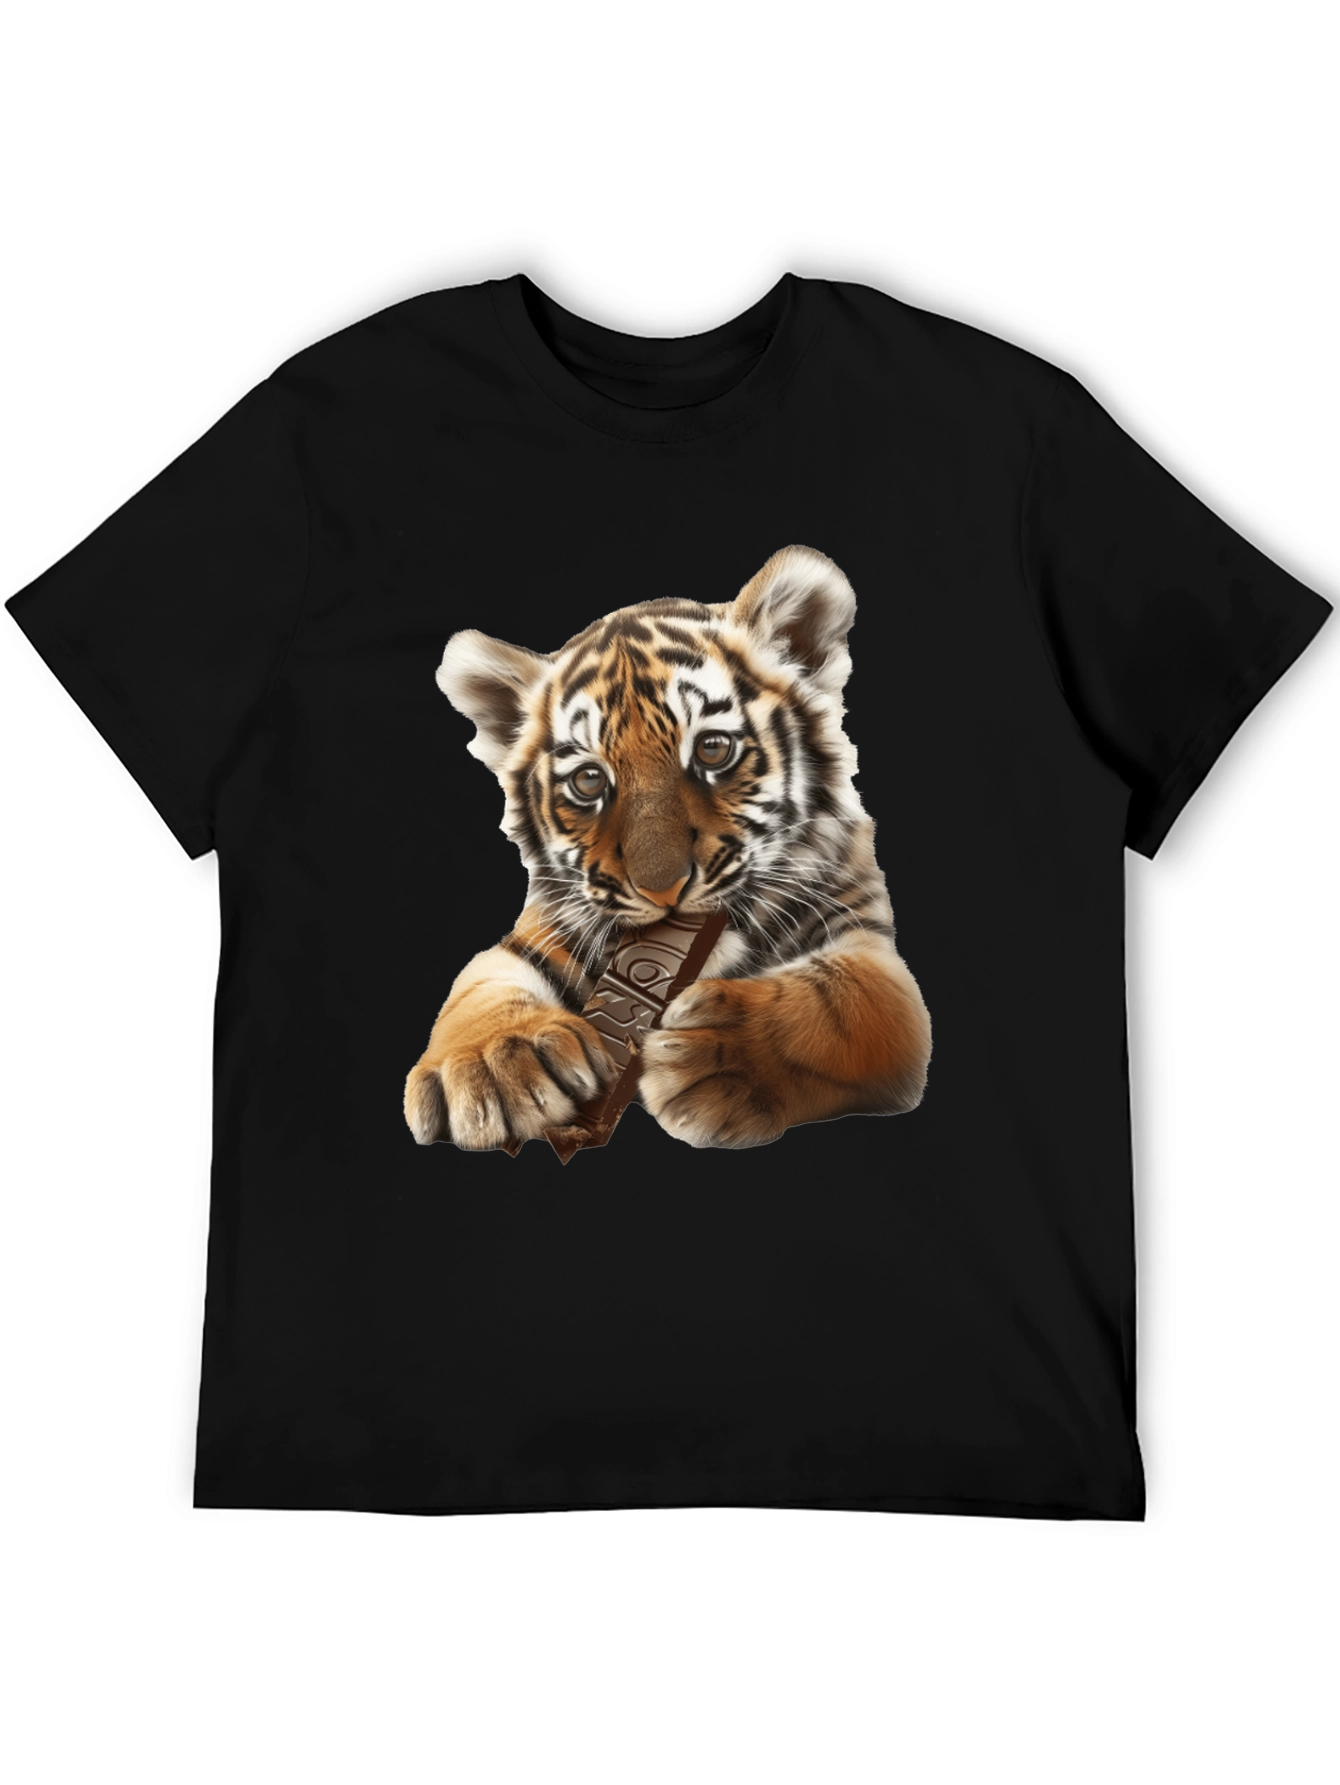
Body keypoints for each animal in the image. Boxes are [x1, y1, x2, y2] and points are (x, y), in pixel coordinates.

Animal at [404, 546, 931, 1152]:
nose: (663, 889)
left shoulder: (870, 944)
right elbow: (479, 984)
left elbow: (845, 1001)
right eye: (588, 781)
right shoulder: (537, 933)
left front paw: (717, 1058)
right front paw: (492, 1064)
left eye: (713, 748)